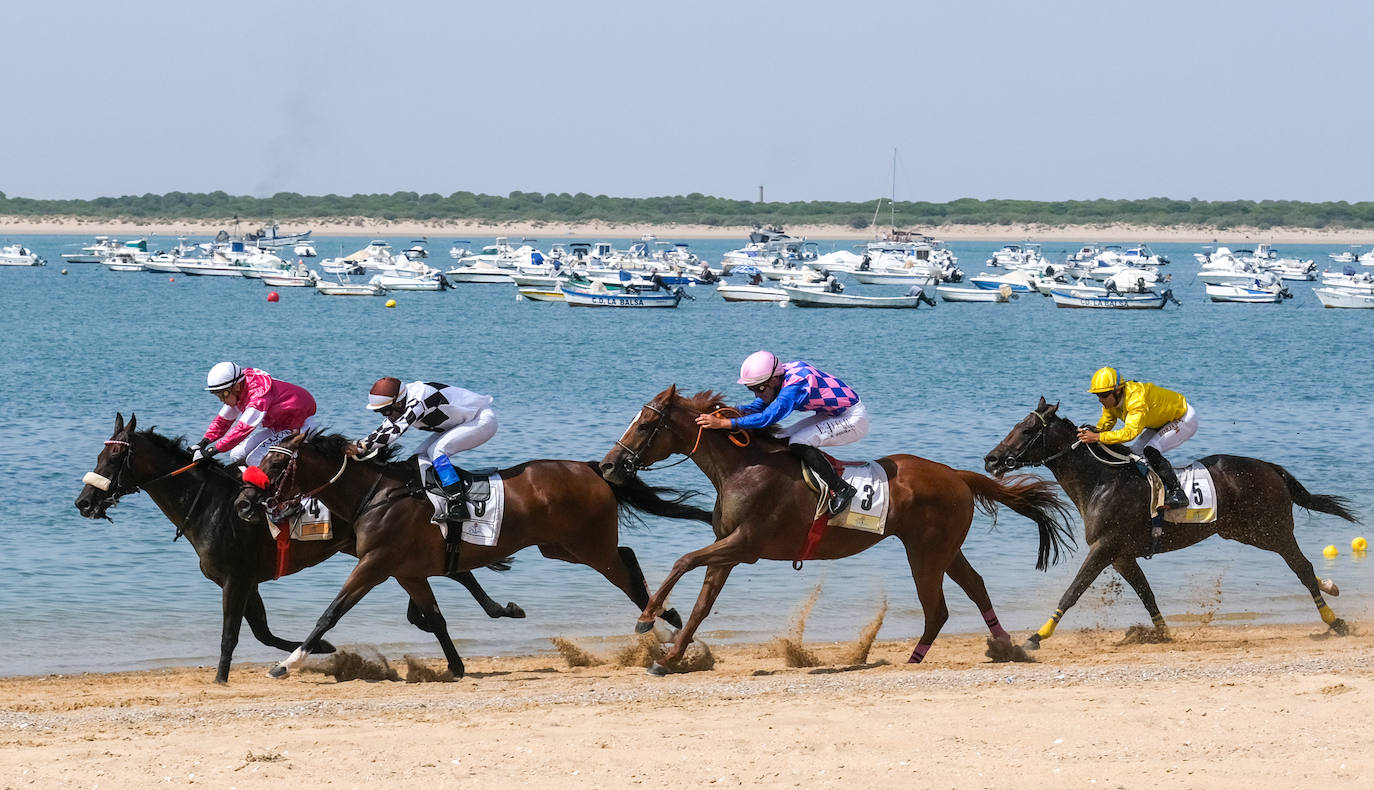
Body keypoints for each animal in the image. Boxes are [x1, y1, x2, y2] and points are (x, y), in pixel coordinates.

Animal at [74, 413, 523, 683]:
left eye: (113, 457)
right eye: (98, 453)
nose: (83, 503)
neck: (211, 505)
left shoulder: (236, 578)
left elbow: (232, 633)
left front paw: (221, 677)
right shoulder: (247, 580)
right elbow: (262, 631)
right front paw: (320, 647)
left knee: (455, 572)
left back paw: (493, 611)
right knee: (450, 572)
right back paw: (484, 613)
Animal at [232, 430, 714, 679]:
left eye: (276, 464)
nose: (243, 503)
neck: (377, 495)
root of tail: (593, 468)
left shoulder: (374, 565)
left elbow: (330, 613)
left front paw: (288, 662)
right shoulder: (407, 572)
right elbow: (437, 619)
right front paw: (457, 664)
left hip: (587, 546)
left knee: (625, 569)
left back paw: (659, 619)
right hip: (561, 548)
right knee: (628, 555)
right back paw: (667, 617)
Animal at [598, 386, 1076, 674]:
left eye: (645, 425)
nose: (607, 465)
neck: (743, 468)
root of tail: (956, 474)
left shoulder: (744, 545)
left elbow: (683, 561)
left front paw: (648, 618)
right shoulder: (728, 549)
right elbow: (701, 605)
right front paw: (671, 656)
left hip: (925, 553)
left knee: (937, 608)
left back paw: (919, 657)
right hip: (944, 549)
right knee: (974, 586)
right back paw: (1005, 646)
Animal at [982, 397, 1359, 650]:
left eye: (1026, 429)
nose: (991, 459)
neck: (1102, 480)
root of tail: (1270, 467)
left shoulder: (1104, 548)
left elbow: (1073, 590)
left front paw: (1037, 636)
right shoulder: (1122, 556)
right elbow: (1147, 594)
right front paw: (1162, 632)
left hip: (1273, 530)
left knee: (1302, 567)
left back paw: (1334, 619)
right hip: (1244, 531)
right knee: (1303, 567)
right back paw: (1330, 587)